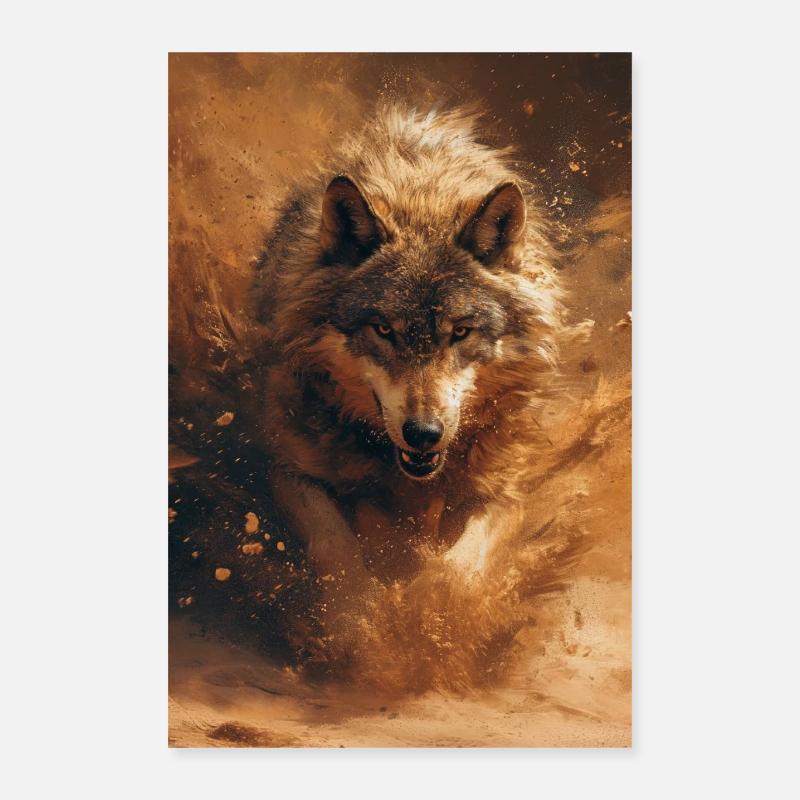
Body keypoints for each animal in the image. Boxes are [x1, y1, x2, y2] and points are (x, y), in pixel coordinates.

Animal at [248, 107, 570, 599]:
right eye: (384, 330)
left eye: (460, 332)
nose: (423, 434)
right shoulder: (289, 468)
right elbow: (336, 548)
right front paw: (365, 613)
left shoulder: (505, 489)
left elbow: (457, 569)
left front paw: (428, 606)